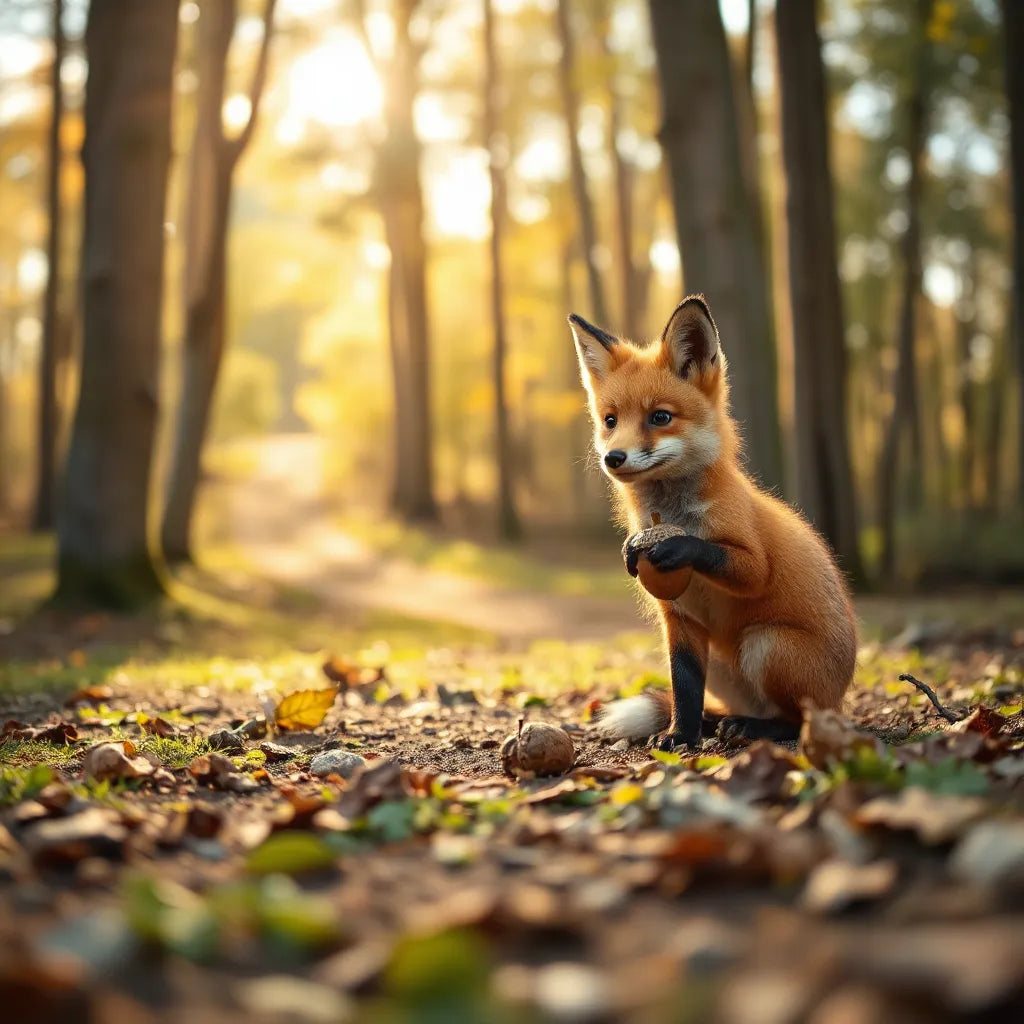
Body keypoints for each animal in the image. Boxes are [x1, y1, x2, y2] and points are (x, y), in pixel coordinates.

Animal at [569, 294, 858, 750]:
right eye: (611, 420)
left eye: (660, 417)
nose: (613, 458)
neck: (672, 514)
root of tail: (840, 700)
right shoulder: (679, 621)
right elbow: (684, 689)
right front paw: (681, 736)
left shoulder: (750, 559)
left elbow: (730, 559)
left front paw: (678, 546)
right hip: (721, 665)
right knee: (729, 707)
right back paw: (724, 723)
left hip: (766, 645)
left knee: (797, 719)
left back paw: (757, 729)